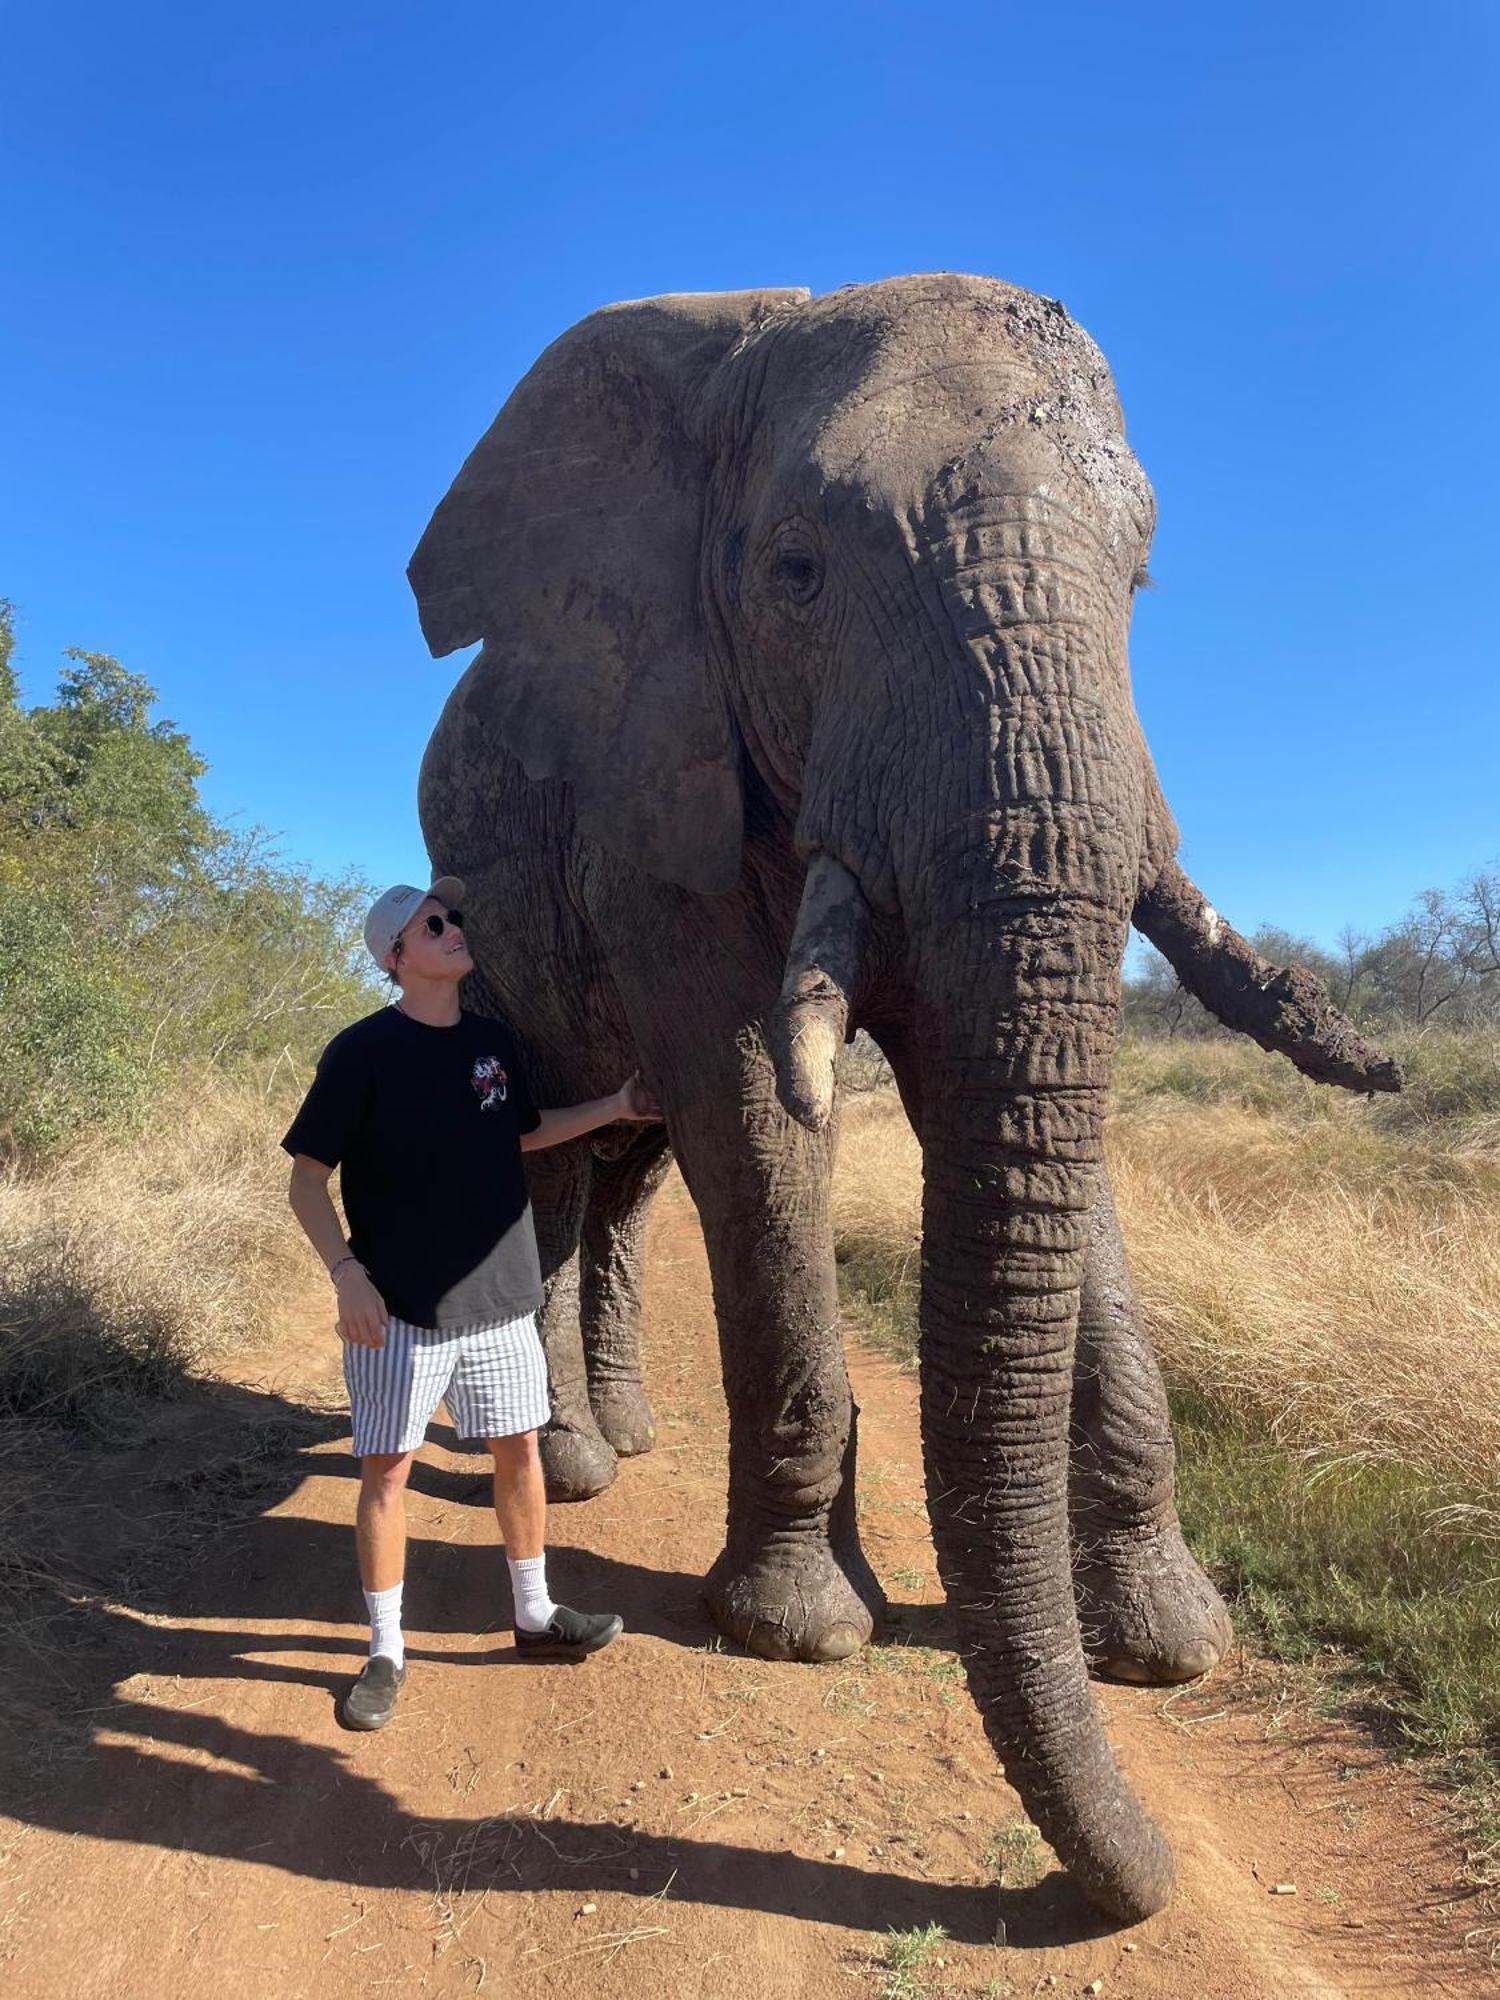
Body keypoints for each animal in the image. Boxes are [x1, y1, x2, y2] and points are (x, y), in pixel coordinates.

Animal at [406, 278, 1408, 1920]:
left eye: (1144, 576)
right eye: (796, 573)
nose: (1136, 1888)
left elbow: (991, 1102)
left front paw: (1171, 1644)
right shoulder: (651, 787)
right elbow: (757, 1107)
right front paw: (802, 1629)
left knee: (620, 1183)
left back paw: (617, 1445)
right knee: (555, 1166)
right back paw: (573, 1467)